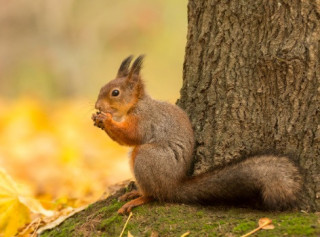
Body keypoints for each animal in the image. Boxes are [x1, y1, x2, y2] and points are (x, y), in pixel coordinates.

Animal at [92, 55, 302, 215]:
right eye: (102, 88)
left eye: (115, 93)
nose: (97, 106)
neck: (138, 103)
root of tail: (173, 185)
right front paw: (98, 119)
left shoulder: (145, 119)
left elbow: (131, 135)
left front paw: (105, 119)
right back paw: (134, 194)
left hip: (148, 158)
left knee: (154, 194)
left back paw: (138, 199)